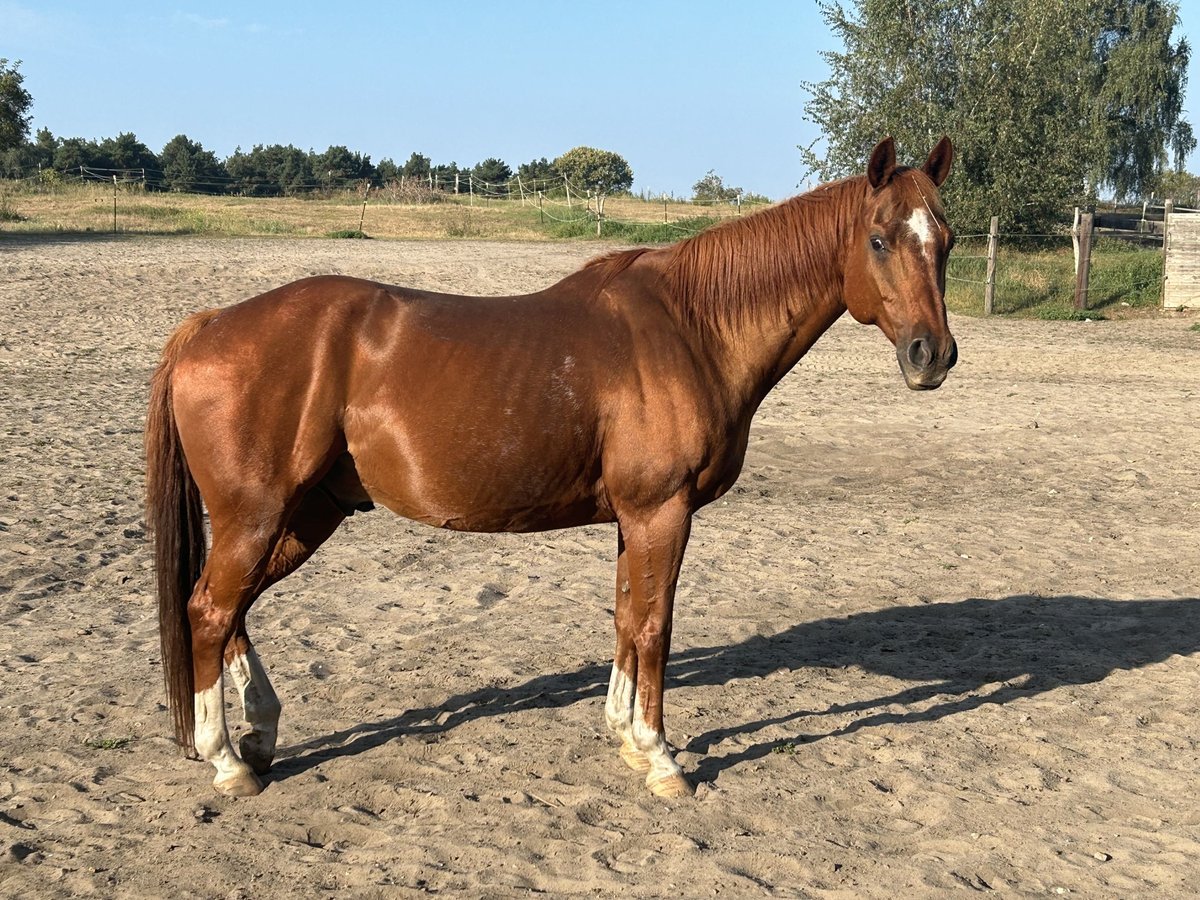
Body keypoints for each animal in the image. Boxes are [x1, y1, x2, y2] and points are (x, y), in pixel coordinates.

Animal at [145, 137, 955, 801]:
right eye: (879, 238)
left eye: (944, 241)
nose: (932, 355)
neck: (690, 329)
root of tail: (209, 325)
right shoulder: (662, 512)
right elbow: (655, 625)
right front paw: (662, 758)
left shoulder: (637, 518)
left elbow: (627, 617)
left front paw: (626, 738)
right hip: (257, 515)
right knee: (209, 611)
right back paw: (228, 761)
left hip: (303, 515)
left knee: (231, 610)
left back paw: (260, 733)